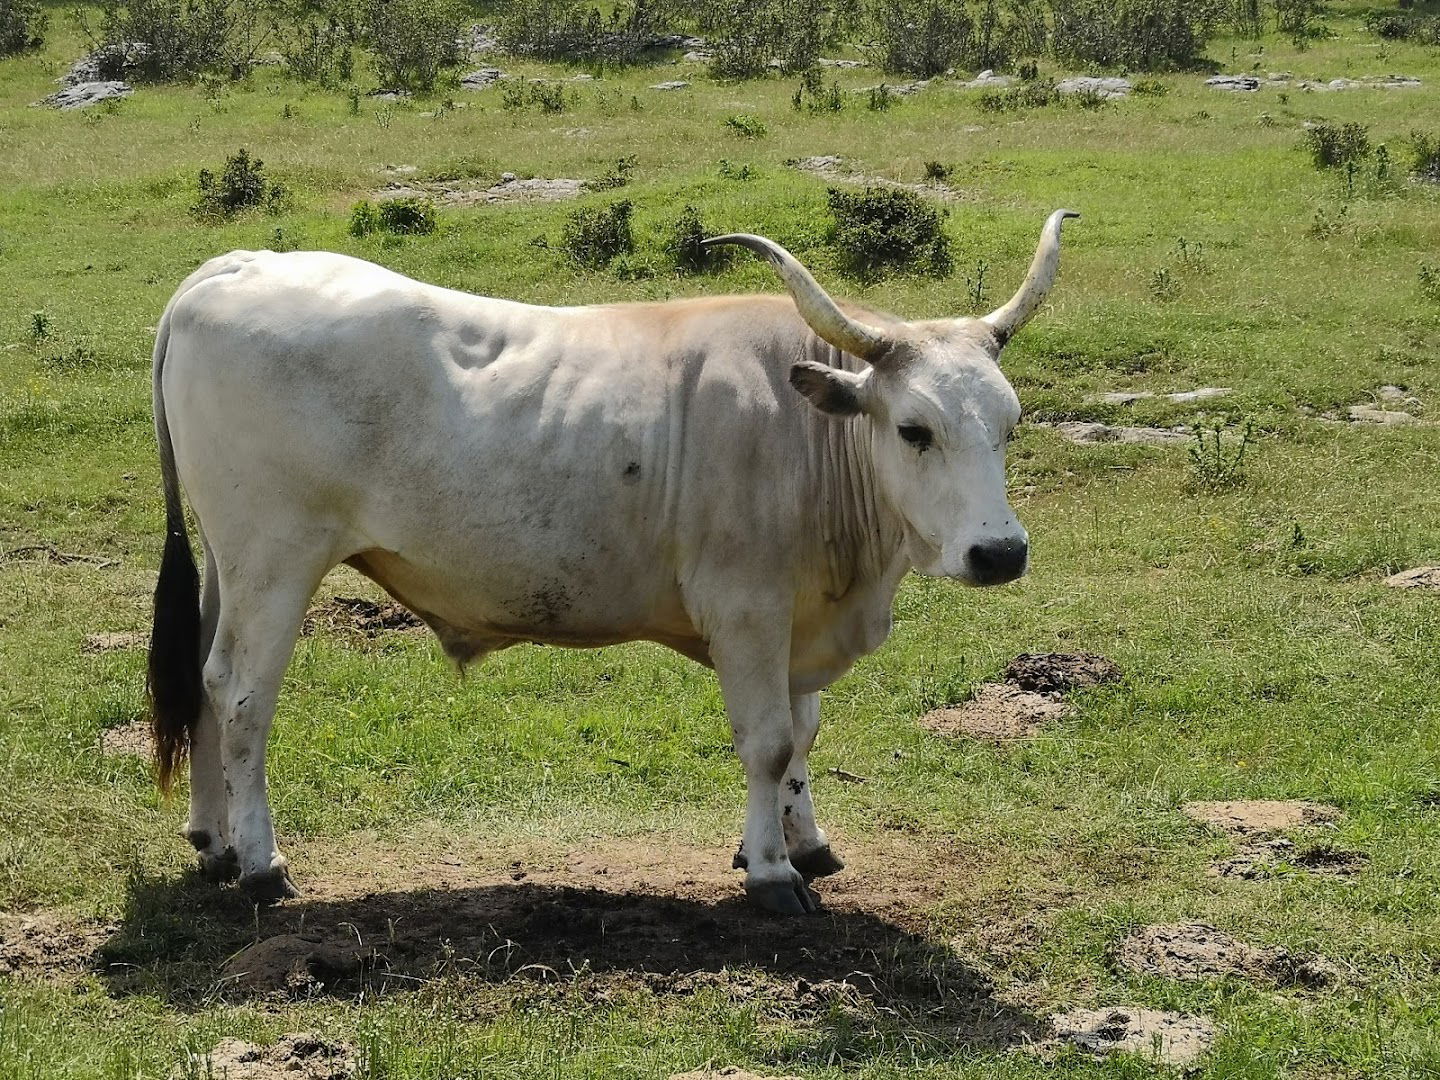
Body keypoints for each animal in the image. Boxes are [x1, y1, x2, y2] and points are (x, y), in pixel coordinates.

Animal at [146, 208, 1077, 915]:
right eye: (915, 429)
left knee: (202, 678)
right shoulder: (747, 609)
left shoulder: (798, 618)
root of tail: (231, 269)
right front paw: (771, 872)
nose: (999, 551)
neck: (805, 428)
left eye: (1009, 423)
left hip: (230, 565)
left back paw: (213, 844)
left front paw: (806, 842)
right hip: (276, 562)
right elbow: (769, 740)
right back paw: (262, 864)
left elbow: (804, 732)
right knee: (242, 697)